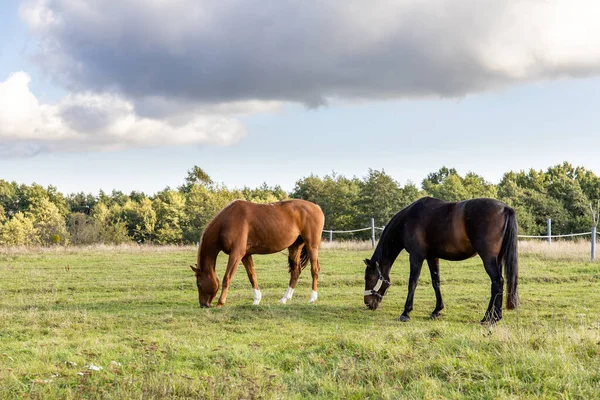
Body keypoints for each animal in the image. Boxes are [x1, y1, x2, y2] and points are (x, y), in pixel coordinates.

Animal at [191, 199, 324, 306]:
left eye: (198, 284)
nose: (203, 304)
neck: (226, 222)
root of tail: (317, 207)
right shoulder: (245, 255)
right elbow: (252, 276)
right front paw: (256, 300)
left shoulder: (236, 254)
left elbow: (227, 278)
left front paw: (220, 302)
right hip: (294, 247)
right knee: (295, 271)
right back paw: (285, 298)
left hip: (312, 246)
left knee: (314, 270)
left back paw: (312, 298)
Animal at [364, 197, 516, 324]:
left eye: (369, 278)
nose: (367, 303)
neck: (406, 221)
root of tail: (505, 208)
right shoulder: (432, 257)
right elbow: (436, 282)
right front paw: (437, 310)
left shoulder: (416, 256)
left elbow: (412, 283)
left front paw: (406, 312)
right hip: (498, 259)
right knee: (496, 285)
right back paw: (492, 315)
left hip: (488, 259)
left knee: (497, 281)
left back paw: (491, 318)